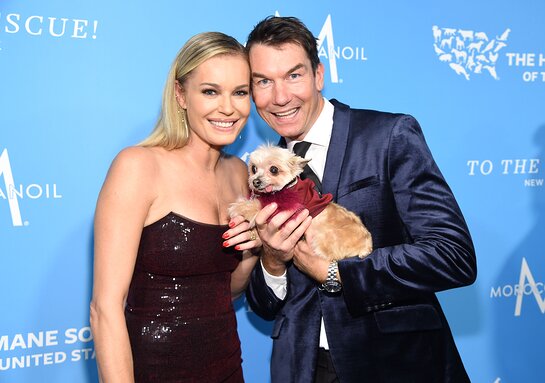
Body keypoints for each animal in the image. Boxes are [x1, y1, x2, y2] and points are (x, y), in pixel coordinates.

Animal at [227, 146, 372, 262]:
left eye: (274, 169)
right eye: (254, 168)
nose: (255, 182)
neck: (286, 187)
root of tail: (367, 245)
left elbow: (257, 206)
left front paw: (239, 207)